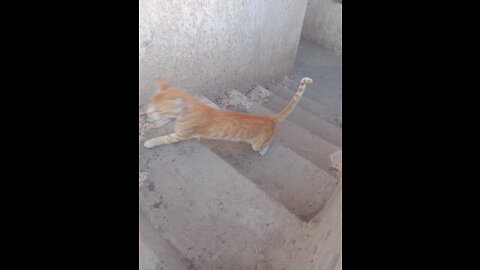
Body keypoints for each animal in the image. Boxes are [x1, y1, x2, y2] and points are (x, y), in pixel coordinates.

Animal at [144, 77, 314, 155]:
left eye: (159, 110)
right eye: (150, 102)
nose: (147, 113)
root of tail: (269, 118)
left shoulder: (180, 135)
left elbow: (162, 139)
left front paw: (149, 143)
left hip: (256, 144)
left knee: (269, 142)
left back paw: (264, 150)